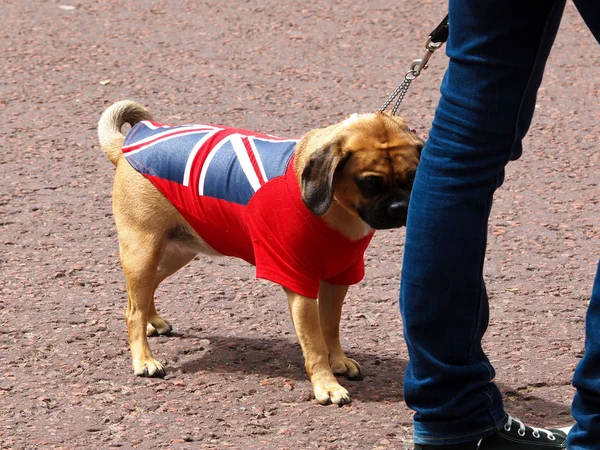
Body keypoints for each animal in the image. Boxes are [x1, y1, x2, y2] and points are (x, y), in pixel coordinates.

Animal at [96, 101, 422, 404]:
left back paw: (153, 320)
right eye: (369, 183)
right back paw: (144, 358)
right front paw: (326, 385)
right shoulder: (300, 285)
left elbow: (330, 327)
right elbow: (315, 343)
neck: (338, 211)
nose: (399, 208)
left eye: (413, 178)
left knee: (144, 291)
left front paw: (338, 360)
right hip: (143, 251)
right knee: (132, 311)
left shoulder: (338, 278)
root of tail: (127, 147)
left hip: (176, 251)